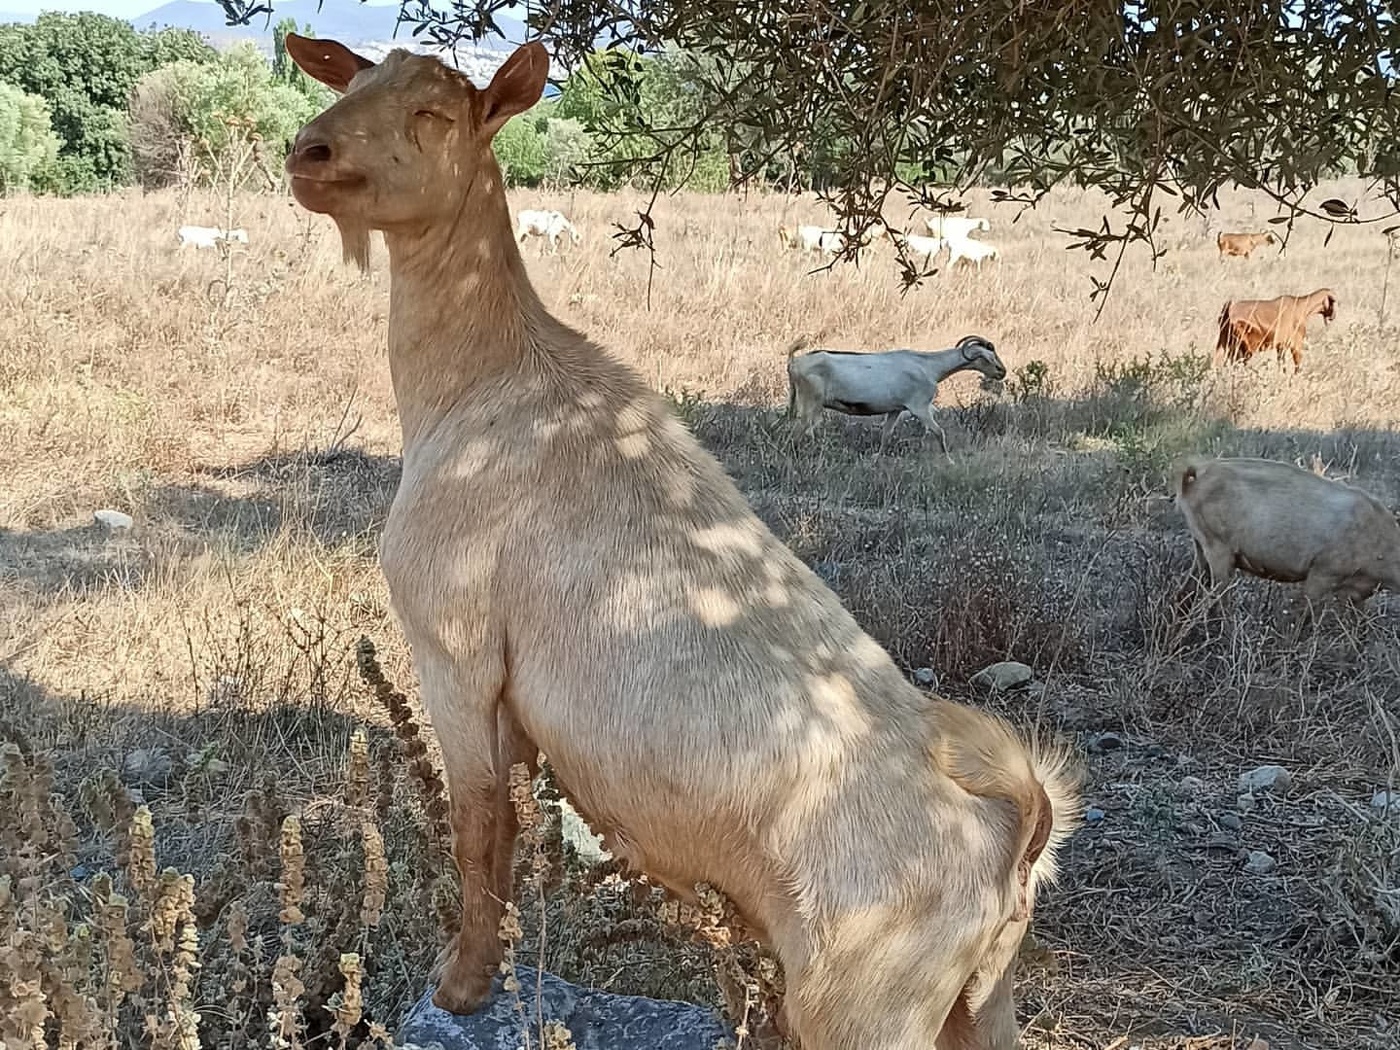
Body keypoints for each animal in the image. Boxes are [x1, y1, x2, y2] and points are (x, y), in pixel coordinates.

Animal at [786, 335, 1007, 456]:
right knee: (802, 428)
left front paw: (877, 457)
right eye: (987, 357)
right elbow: (939, 432)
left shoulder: (895, 409)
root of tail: (794, 362)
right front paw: (949, 460)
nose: (1002, 372)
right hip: (811, 400)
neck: (929, 366)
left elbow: (886, 435)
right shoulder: (919, 407)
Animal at [1175, 456, 1400, 610]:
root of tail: (1197, 474)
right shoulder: (1323, 571)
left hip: (1200, 543)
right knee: (1218, 599)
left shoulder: (1358, 593)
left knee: (1186, 590)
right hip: (1218, 546)